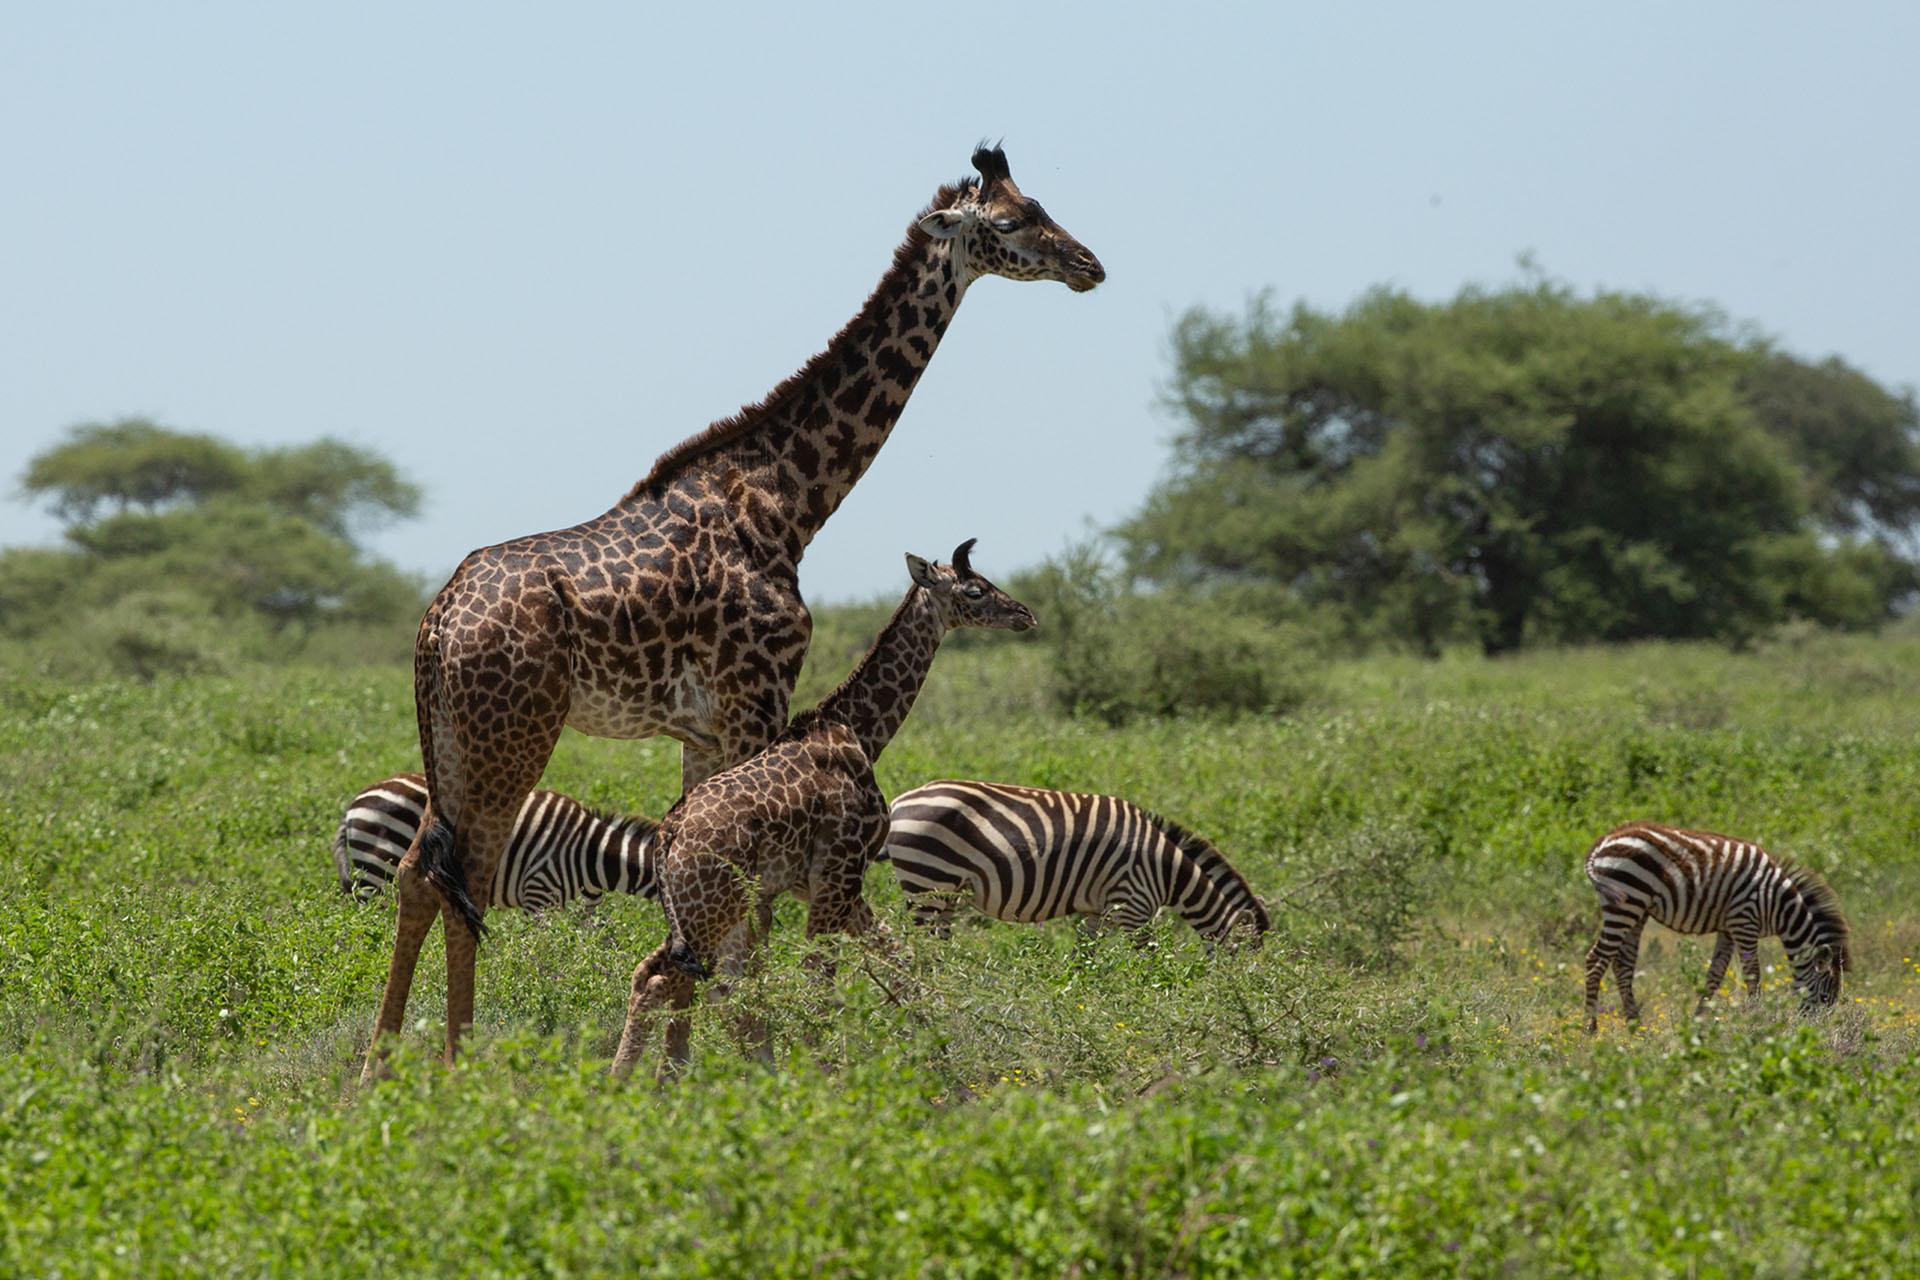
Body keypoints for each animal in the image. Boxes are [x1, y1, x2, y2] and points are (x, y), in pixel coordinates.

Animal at [610, 537, 1036, 1074]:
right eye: (975, 590)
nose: (1025, 614)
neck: (860, 731)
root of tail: (667, 837)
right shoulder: (839, 873)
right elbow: (822, 980)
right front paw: (823, 1074)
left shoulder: (827, 886)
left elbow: (897, 961)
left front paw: (945, 1055)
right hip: (712, 909)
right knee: (670, 981)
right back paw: (644, 1082)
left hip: (698, 912)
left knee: (658, 976)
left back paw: (642, 1080)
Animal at [883, 775, 1274, 948]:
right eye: (1246, 955)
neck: (1165, 868)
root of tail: (899, 802)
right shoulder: (1133, 906)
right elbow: (1148, 961)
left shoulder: (1095, 912)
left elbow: (1086, 957)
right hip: (928, 882)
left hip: (943, 892)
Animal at [1582, 825, 1850, 1036]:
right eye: (1825, 998)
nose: (1815, 1034)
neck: (1779, 905)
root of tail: (1601, 844)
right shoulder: (1745, 921)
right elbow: (1753, 975)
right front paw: (1758, 1020)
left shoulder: (1728, 929)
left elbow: (1715, 975)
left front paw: (1697, 1023)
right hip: (1625, 903)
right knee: (1595, 960)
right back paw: (1590, 1028)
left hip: (1637, 910)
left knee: (1622, 965)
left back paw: (1636, 1027)